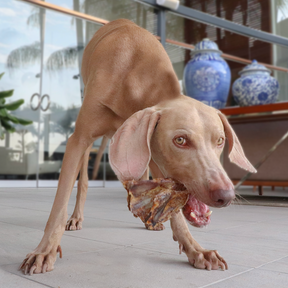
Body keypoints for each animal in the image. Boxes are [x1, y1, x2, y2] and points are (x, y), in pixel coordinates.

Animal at [20, 18, 255, 274]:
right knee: (83, 179)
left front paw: (195, 249)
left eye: (220, 141)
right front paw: (44, 251)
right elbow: (59, 204)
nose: (226, 196)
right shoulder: (79, 139)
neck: (135, 72)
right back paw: (77, 217)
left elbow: (176, 213)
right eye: (180, 140)